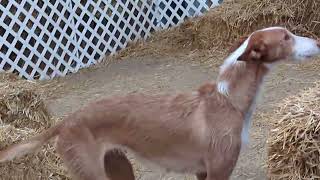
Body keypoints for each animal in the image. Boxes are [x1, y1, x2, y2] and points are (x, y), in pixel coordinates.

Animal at [0, 27, 320, 180]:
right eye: (286, 37)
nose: (317, 42)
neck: (228, 99)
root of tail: (66, 121)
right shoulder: (218, 171)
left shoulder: (202, 172)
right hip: (94, 174)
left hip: (119, 169)